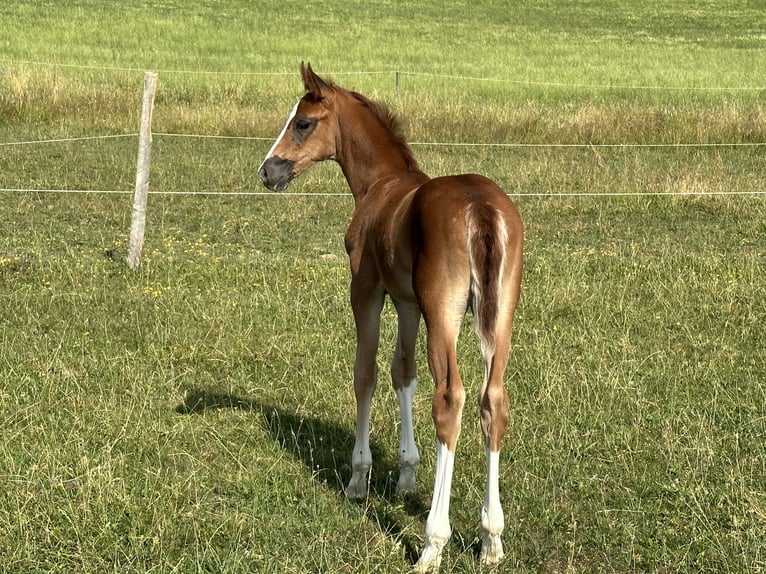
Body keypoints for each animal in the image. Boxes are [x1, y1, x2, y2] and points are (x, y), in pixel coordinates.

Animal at [260, 63, 524, 572]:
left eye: (302, 122)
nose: (268, 170)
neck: (380, 186)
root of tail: (479, 208)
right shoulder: (407, 303)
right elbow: (403, 372)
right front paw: (405, 474)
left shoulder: (367, 289)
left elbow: (364, 372)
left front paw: (358, 478)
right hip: (499, 314)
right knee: (493, 400)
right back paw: (491, 538)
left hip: (445, 314)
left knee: (451, 399)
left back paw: (433, 542)